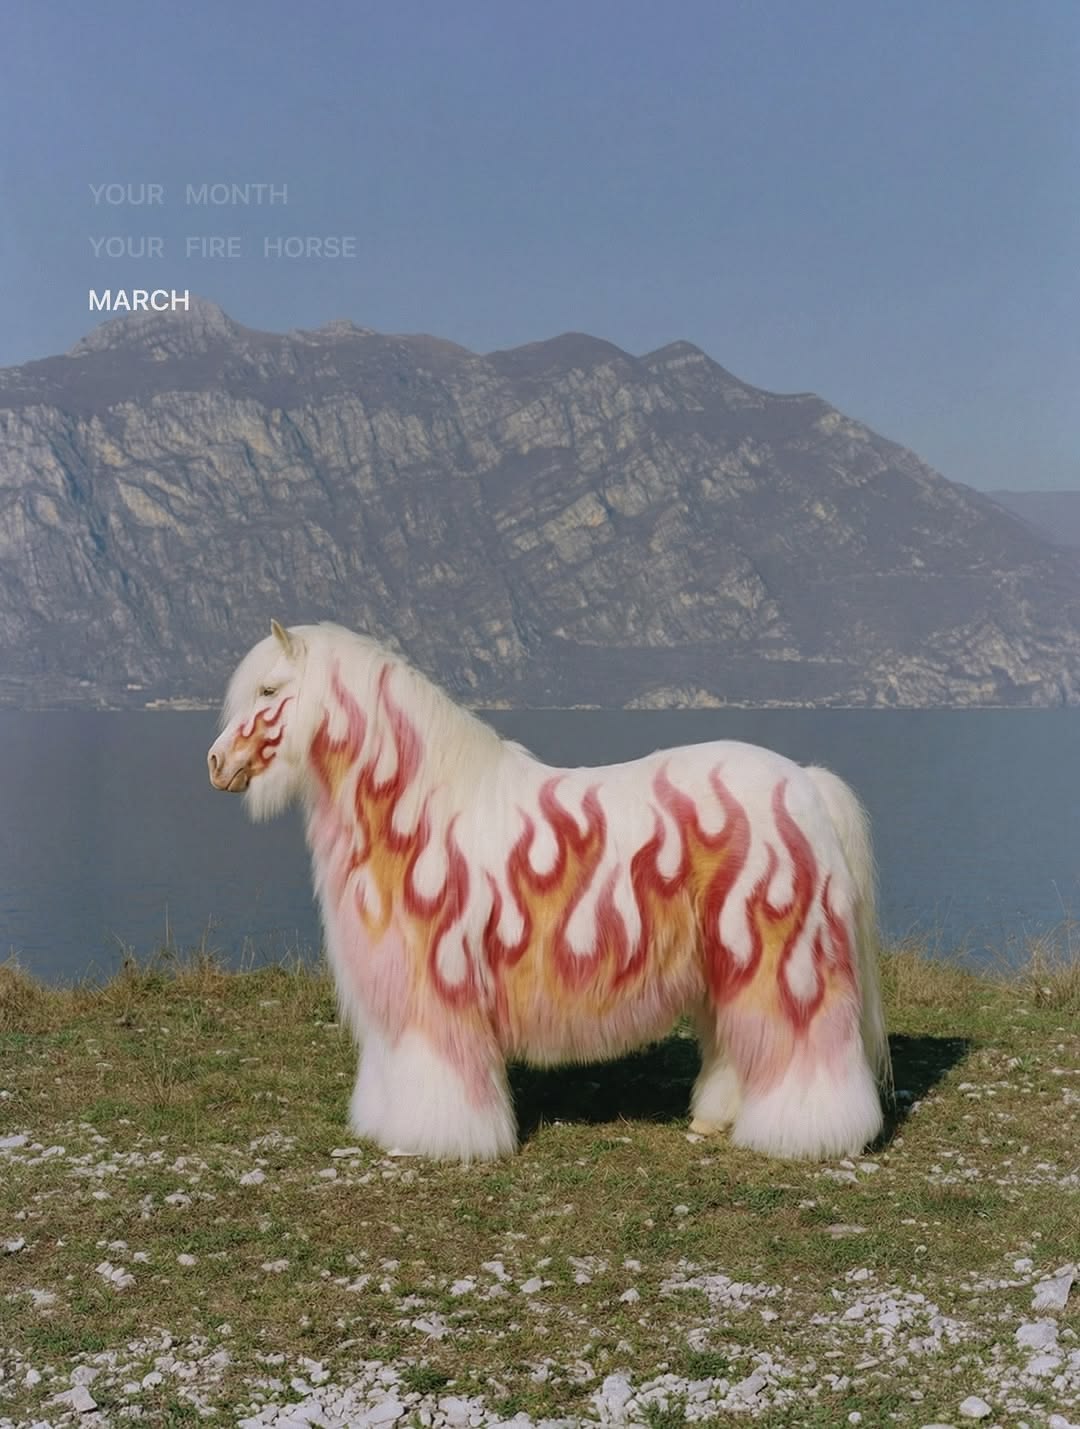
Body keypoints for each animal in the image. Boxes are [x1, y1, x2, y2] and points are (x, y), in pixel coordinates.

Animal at [208, 620, 890, 1163]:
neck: (419, 812)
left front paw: (441, 1140)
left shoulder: (438, 989)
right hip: (725, 963)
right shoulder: (396, 1003)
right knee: (739, 1047)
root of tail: (805, 782)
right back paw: (712, 1121)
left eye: (268, 691)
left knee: (809, 1049)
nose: (216, 765)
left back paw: (808, 1135)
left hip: (785, 965)